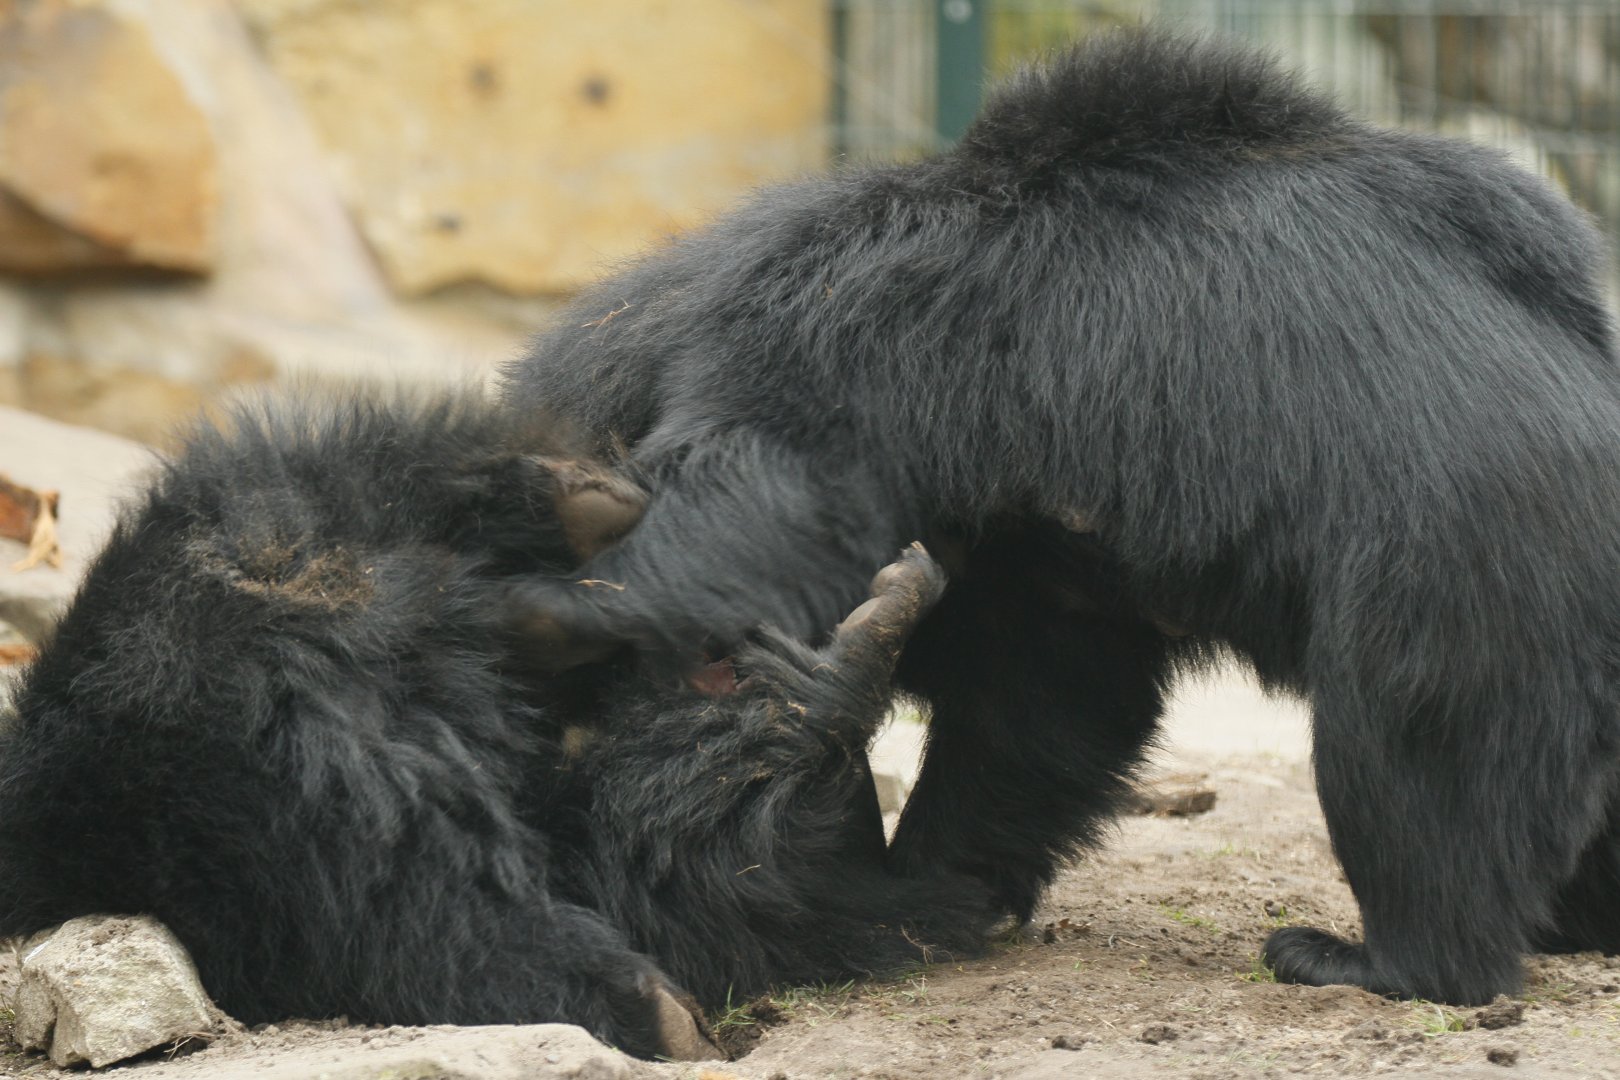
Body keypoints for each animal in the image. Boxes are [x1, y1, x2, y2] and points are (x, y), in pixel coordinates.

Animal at [500, 29, 1620, 1005]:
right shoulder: (1041, 550)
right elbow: (1048, 701)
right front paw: (948, 874)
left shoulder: (853, 354)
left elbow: (758, 496)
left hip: (1459, 579)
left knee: (1412, 762)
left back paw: (1371, 959)